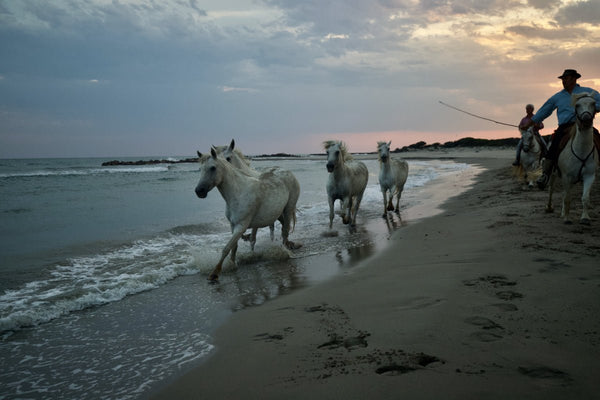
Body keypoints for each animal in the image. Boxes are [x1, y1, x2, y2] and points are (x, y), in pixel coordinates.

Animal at [196, 148, 298, 282]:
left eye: (212, 168)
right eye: (200, 168)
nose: (199, 191)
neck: (238, 193)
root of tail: (288, 172)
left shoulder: (241, 226)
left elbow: (227, 248)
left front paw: (214, 273)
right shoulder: (233, 225)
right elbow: (234, 246)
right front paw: (232, 264)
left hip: (288, 209)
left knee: (285, 232)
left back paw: (285, 252)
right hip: (278, 214)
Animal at [548, 93, 596, 225]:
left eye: (593, 103)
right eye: (577, 105)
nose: (586, 120)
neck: (582, 150)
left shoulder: (589, 175)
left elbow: (585, 198)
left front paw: (585, 218)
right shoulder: (566, 176)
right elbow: (567, 198)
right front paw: (567, 219)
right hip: (554, 174)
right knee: (552, 189)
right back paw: (550, 208)